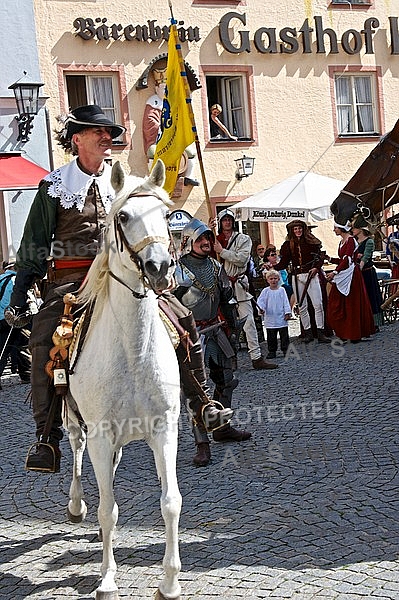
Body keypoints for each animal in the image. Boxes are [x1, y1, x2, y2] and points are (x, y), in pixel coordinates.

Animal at [66, 161, 183, 600]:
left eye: (167, 214)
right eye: (124, 216)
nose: (159, 268)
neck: (133, 352)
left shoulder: (165, 428)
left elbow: (170, 501)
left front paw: (169, 581)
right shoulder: (100, 432)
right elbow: (107, 509)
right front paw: (107, 578)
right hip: (75, 423)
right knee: (77, 455)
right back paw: (76, 504)